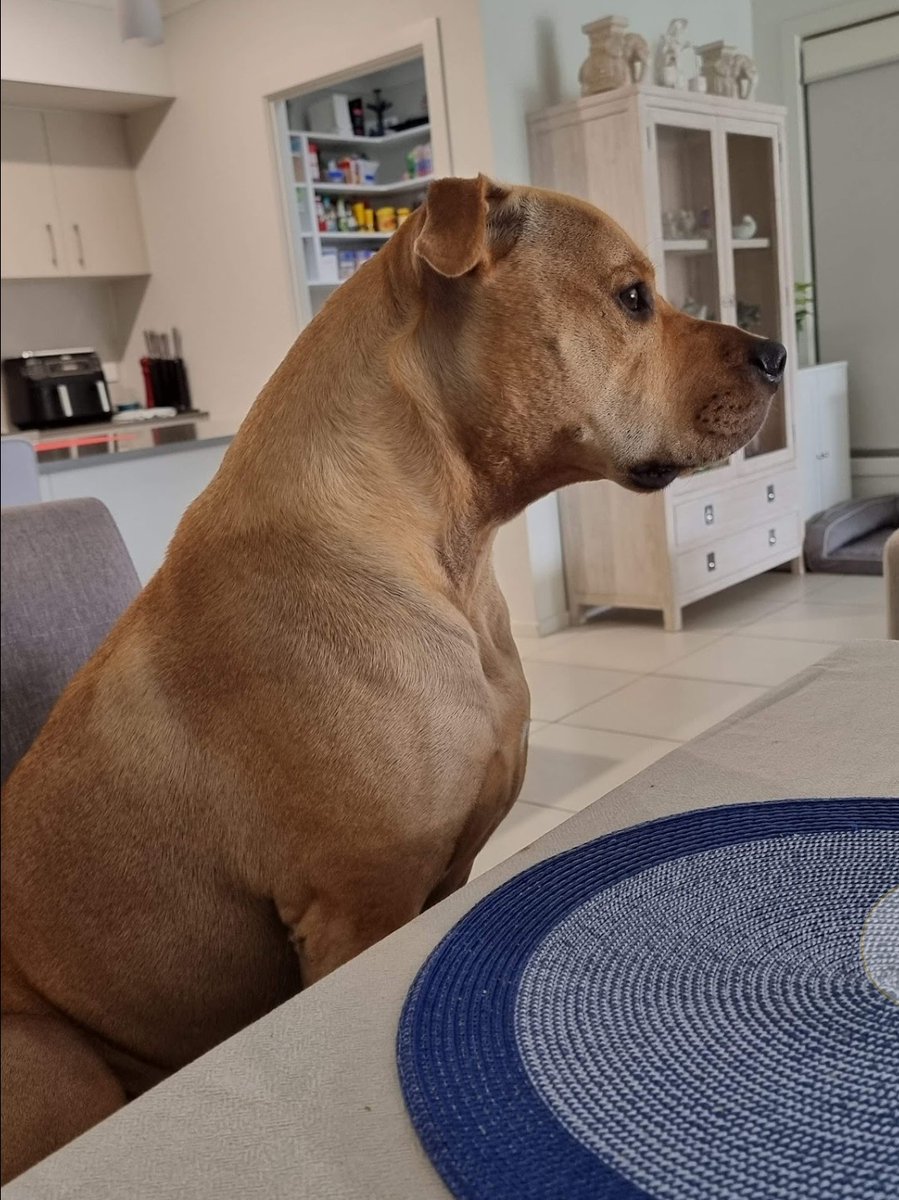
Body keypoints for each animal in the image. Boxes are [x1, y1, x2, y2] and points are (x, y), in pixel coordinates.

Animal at [0, 177, 782, 1180]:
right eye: (633, 298)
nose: (777, 351)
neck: (447, 543)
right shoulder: (357, 908)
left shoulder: (440, 874)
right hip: (53, 1061)